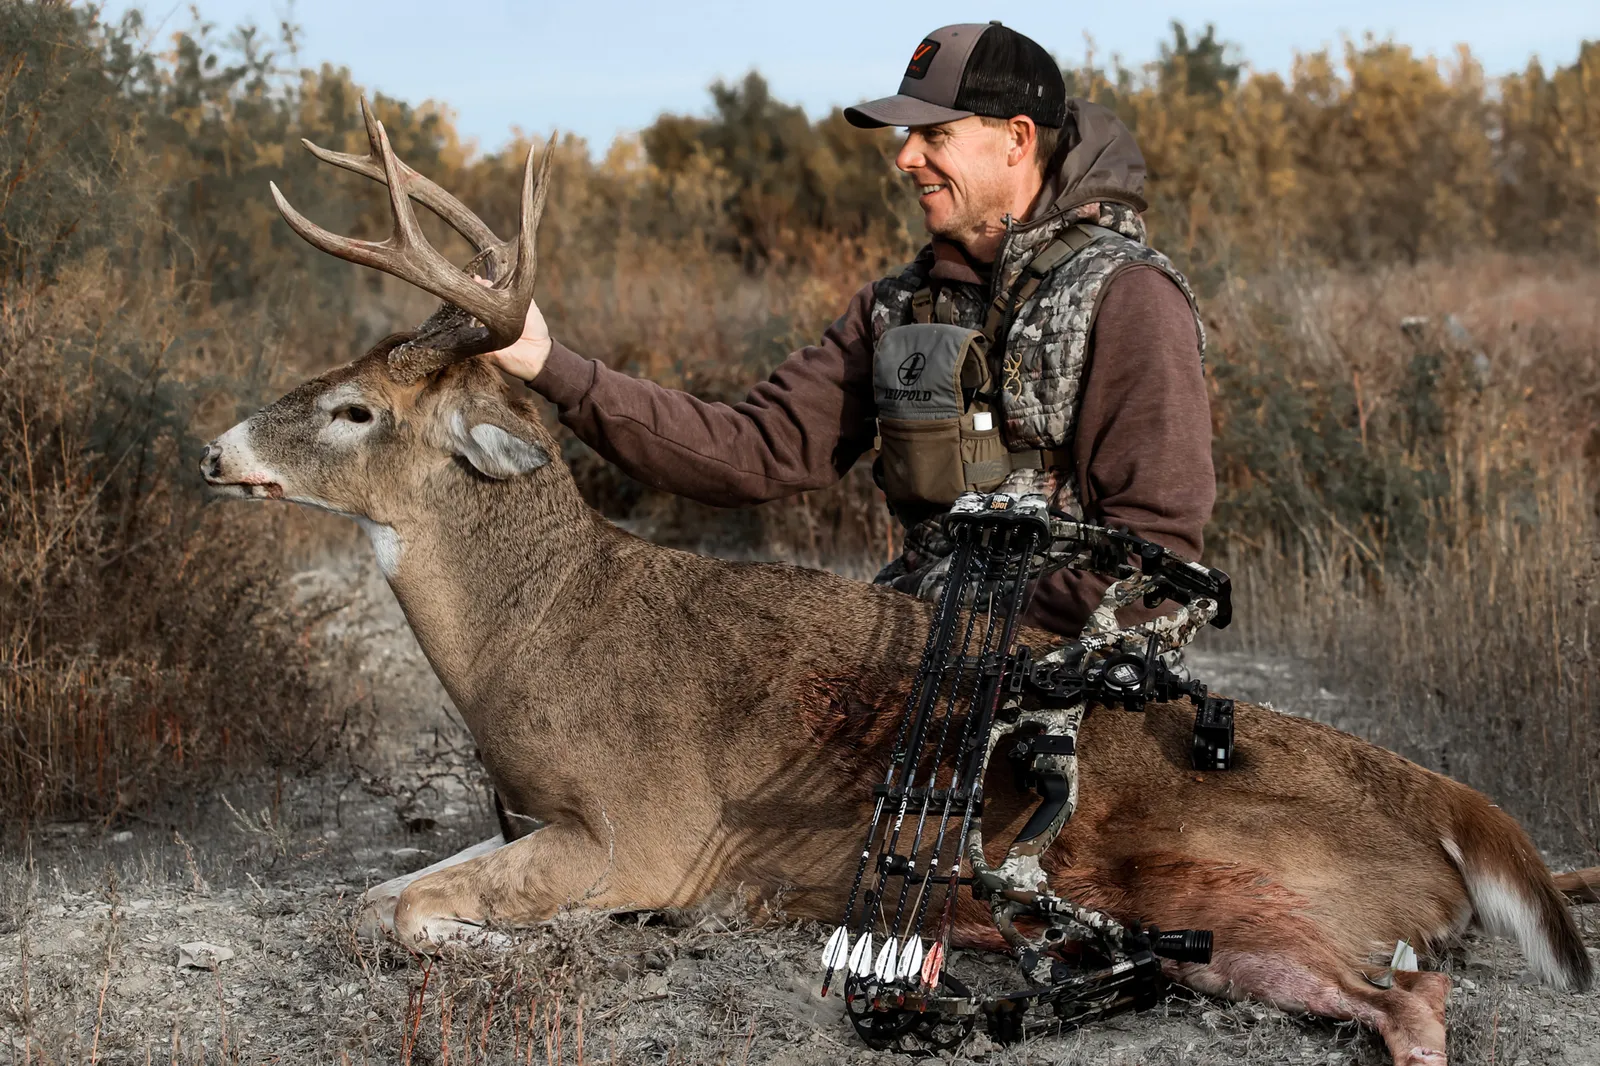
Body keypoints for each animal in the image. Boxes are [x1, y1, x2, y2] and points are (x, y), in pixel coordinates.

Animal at [199, 102, 1598, 1066]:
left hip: (1236, 887)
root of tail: (1459, 806)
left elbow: (388, 910)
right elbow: (376, 897)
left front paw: (541, 934)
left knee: (1417, 1002)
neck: (533, 640)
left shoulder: (639, 827)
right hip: (1236, 932)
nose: (212, 451)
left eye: (354, 408)